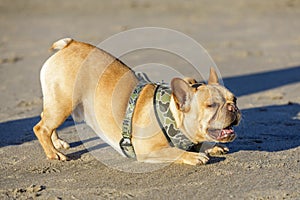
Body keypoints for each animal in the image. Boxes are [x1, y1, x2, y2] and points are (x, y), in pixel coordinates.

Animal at [32, 38, 240, 165]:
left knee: (46, 119)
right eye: (211, 105)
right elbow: (173, 152)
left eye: (235, 99)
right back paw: (54, 153)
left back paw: (57, 142)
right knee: (41, 127)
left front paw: (213, 147)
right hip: (63, 103)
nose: (233, 108)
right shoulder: (146, 150)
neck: (171, 116)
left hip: (60, 103)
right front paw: (194, 155)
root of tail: (69, 44)